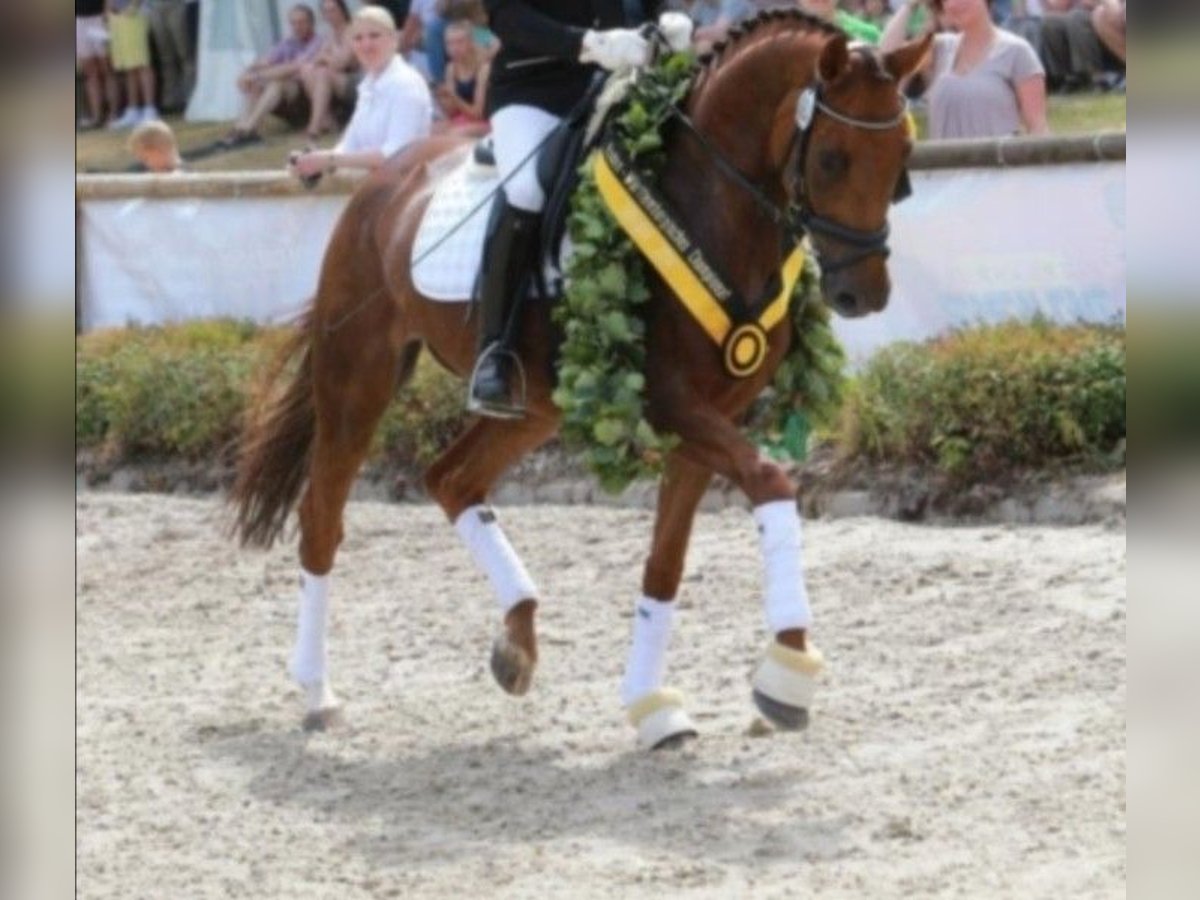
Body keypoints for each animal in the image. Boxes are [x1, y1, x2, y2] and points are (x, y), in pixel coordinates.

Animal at [231, 11, 932, 748]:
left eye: (902, 160)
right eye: (831, 159)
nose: (863, 294)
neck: (708, 207)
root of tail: (382, 177)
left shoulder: (709, 417)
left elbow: (665, 562)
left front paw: (652, 706)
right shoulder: (671, 401)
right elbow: (771, 481)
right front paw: (787, 670)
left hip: (538, 408)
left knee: (450, 479)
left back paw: (517, 639)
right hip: (356, 380)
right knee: (322, 517)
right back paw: (319, 692)